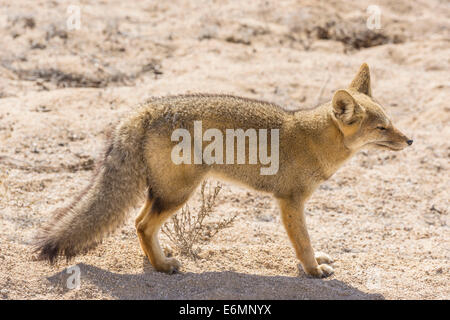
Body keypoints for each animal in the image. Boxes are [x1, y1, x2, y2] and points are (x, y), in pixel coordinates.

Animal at [35, 63, 414, 278]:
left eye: (391, 122)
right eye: (381, 128)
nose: (410, 140)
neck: (314, 139)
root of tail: (143, 110)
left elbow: (308, 241)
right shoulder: (290, 201)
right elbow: (303, 242)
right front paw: (313, 270)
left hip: (164, 193)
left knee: (140, 223)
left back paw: (158, 259)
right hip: (179, 194)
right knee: (142, 224)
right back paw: (162, 267)